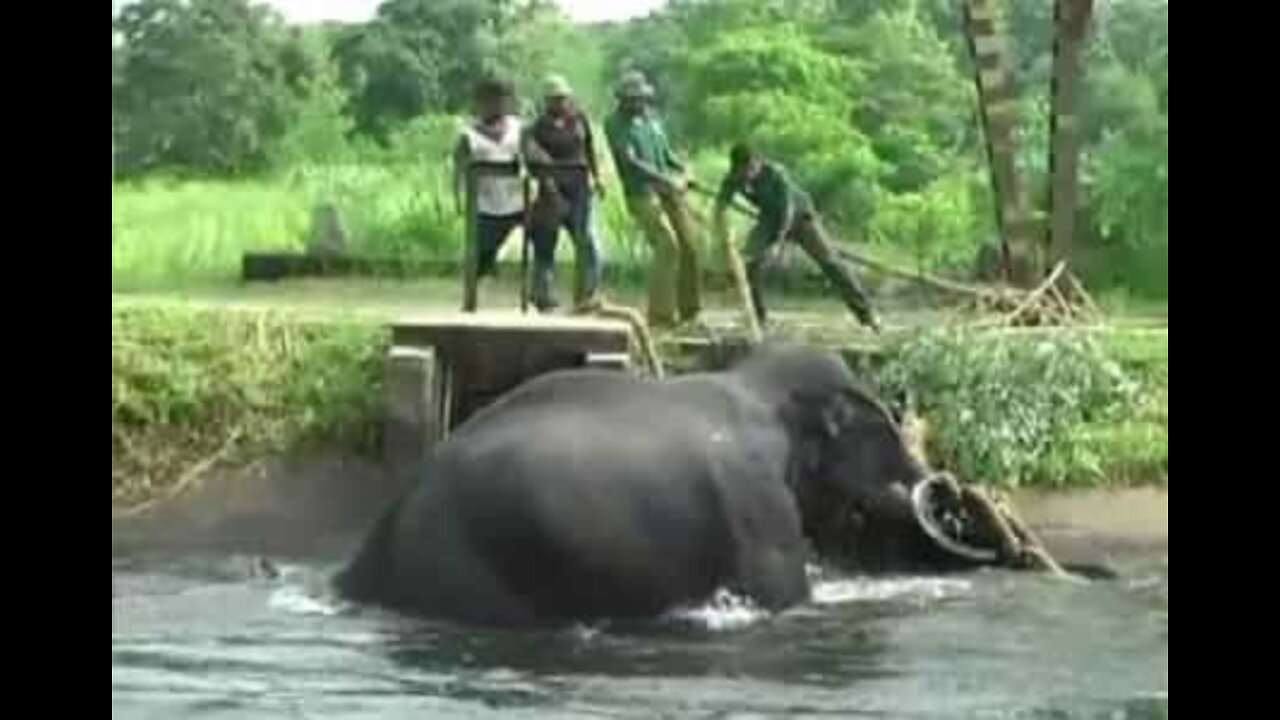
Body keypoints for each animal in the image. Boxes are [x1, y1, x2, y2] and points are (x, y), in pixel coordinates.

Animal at [335, 340, 1003, 622]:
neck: (756, 382)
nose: (947, 490)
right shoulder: (755, 500)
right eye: (886, 434)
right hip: (468, 564)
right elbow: (781, 594)